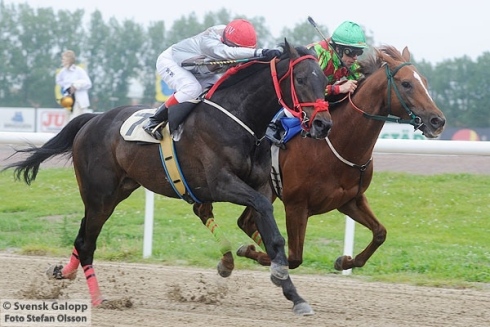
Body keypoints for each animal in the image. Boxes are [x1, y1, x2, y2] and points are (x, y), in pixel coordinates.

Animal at [2, 39, 330, 316]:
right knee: (86, 243)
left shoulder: (259, 185)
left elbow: (273, 236)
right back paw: (99, 299)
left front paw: (294, 295)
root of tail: (91, 120)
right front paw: (278, 274)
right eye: (301, 80)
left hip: (115, 192)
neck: (238, 118)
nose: (323, 124)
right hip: (99, 195)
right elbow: (263, 213)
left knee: (82, 237)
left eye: (325, 81)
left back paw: (64, 272)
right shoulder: (221, 184)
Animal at [194, 44, 444, 272]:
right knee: (208, 210)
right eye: (406, 84)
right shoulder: (296, 205)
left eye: (424, 81)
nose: (437, 121)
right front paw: (253, 251)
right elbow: (294, 257)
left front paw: (345, 261)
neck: (337, 145)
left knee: (242, 221)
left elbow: (380, 233)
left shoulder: (350, 200)